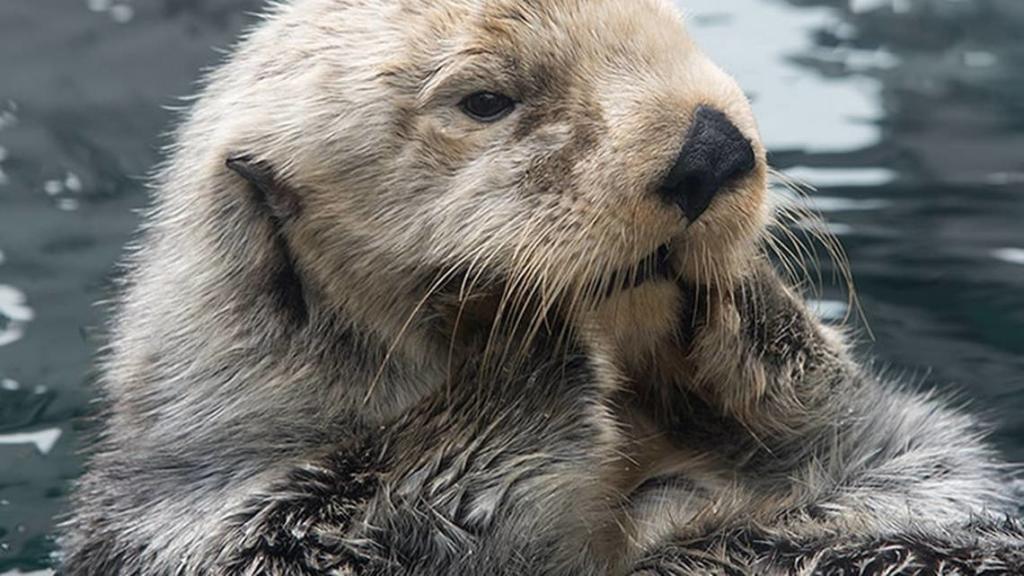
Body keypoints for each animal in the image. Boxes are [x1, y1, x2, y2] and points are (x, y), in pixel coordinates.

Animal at [58, 0, 1024, 569]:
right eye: (485, 101)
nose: (714, 148)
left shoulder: (907, 469)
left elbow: (897, 452)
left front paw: (745, 307)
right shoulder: (206, 516)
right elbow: (367, 527)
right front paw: (508, 335)